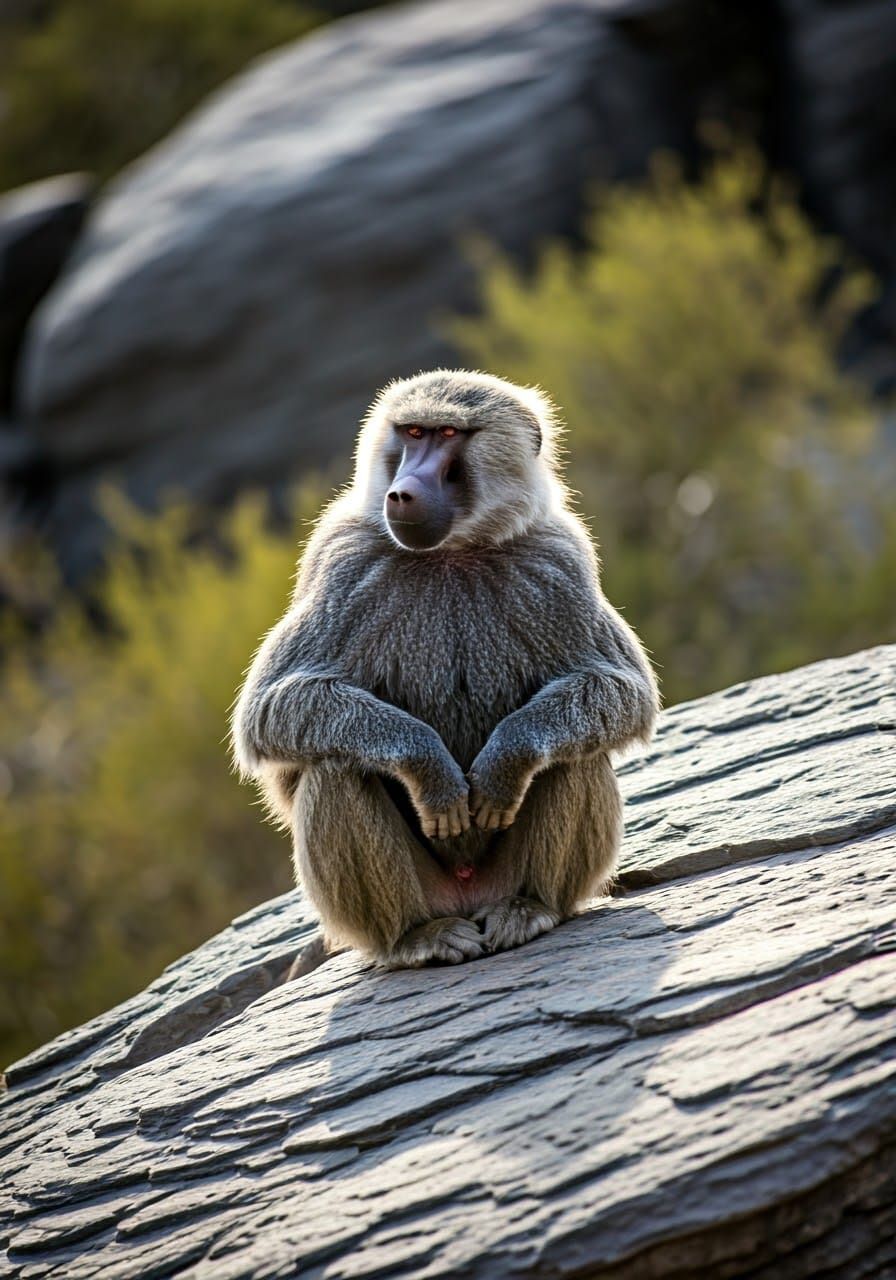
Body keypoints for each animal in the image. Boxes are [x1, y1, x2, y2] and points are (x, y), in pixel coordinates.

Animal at [232, 370, 659, 968]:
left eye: (449, 433)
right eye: (412, 432)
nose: (402, 492)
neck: (454, 550)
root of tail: (468, 896)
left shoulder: (558, 560)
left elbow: (622, 689)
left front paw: (506, 763)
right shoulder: (344, 559)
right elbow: (270, 708)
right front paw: (430, 771)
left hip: (504, 878)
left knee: (575, 753)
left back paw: (529, 908)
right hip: (414, 900)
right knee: (336, 769)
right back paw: (418, 937)